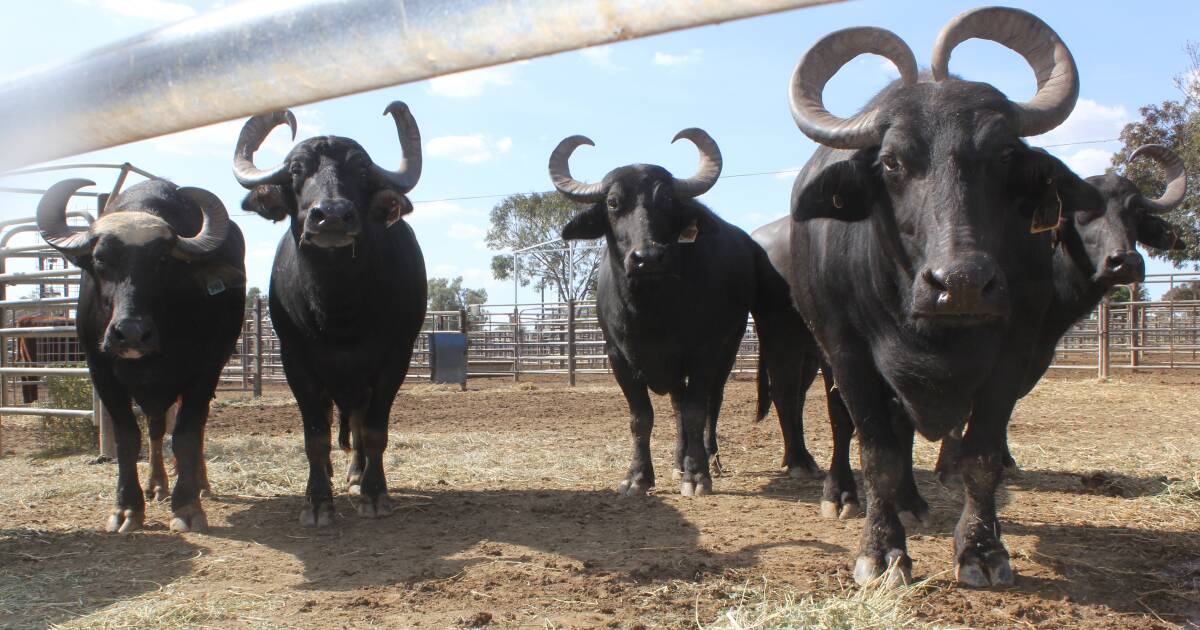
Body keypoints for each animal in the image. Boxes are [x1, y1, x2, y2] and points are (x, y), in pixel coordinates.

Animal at [37, 178, 244, 532]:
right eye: (101, 259)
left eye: (163, 261)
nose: (131, 332)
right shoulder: (101, 371)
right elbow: (128, 438)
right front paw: (127, 508)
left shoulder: (205, 370)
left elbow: (187, 435)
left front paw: (187, 506)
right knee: (156, 429)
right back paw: (156, 485)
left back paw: (198, 483)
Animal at [231, 102, 424, 525]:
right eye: (296, 170)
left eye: (362, 171)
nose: (332, 215)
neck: (340, 312)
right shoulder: (295, 362)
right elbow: (315, 436)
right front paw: (317, 502)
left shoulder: (394, 361)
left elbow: (374, 432)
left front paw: (374, 493)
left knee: (358, 425)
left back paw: (356, 476)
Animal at [782, 6, 1094, 585]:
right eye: (891, 162)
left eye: (1003, 153)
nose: (962, 283)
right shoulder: (848, 351)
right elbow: (876, 452)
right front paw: (882, 551)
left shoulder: (1013, 351)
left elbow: (981, 455)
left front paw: (982, 550)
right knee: (845, 426)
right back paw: (843, 494)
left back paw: (912, 502)